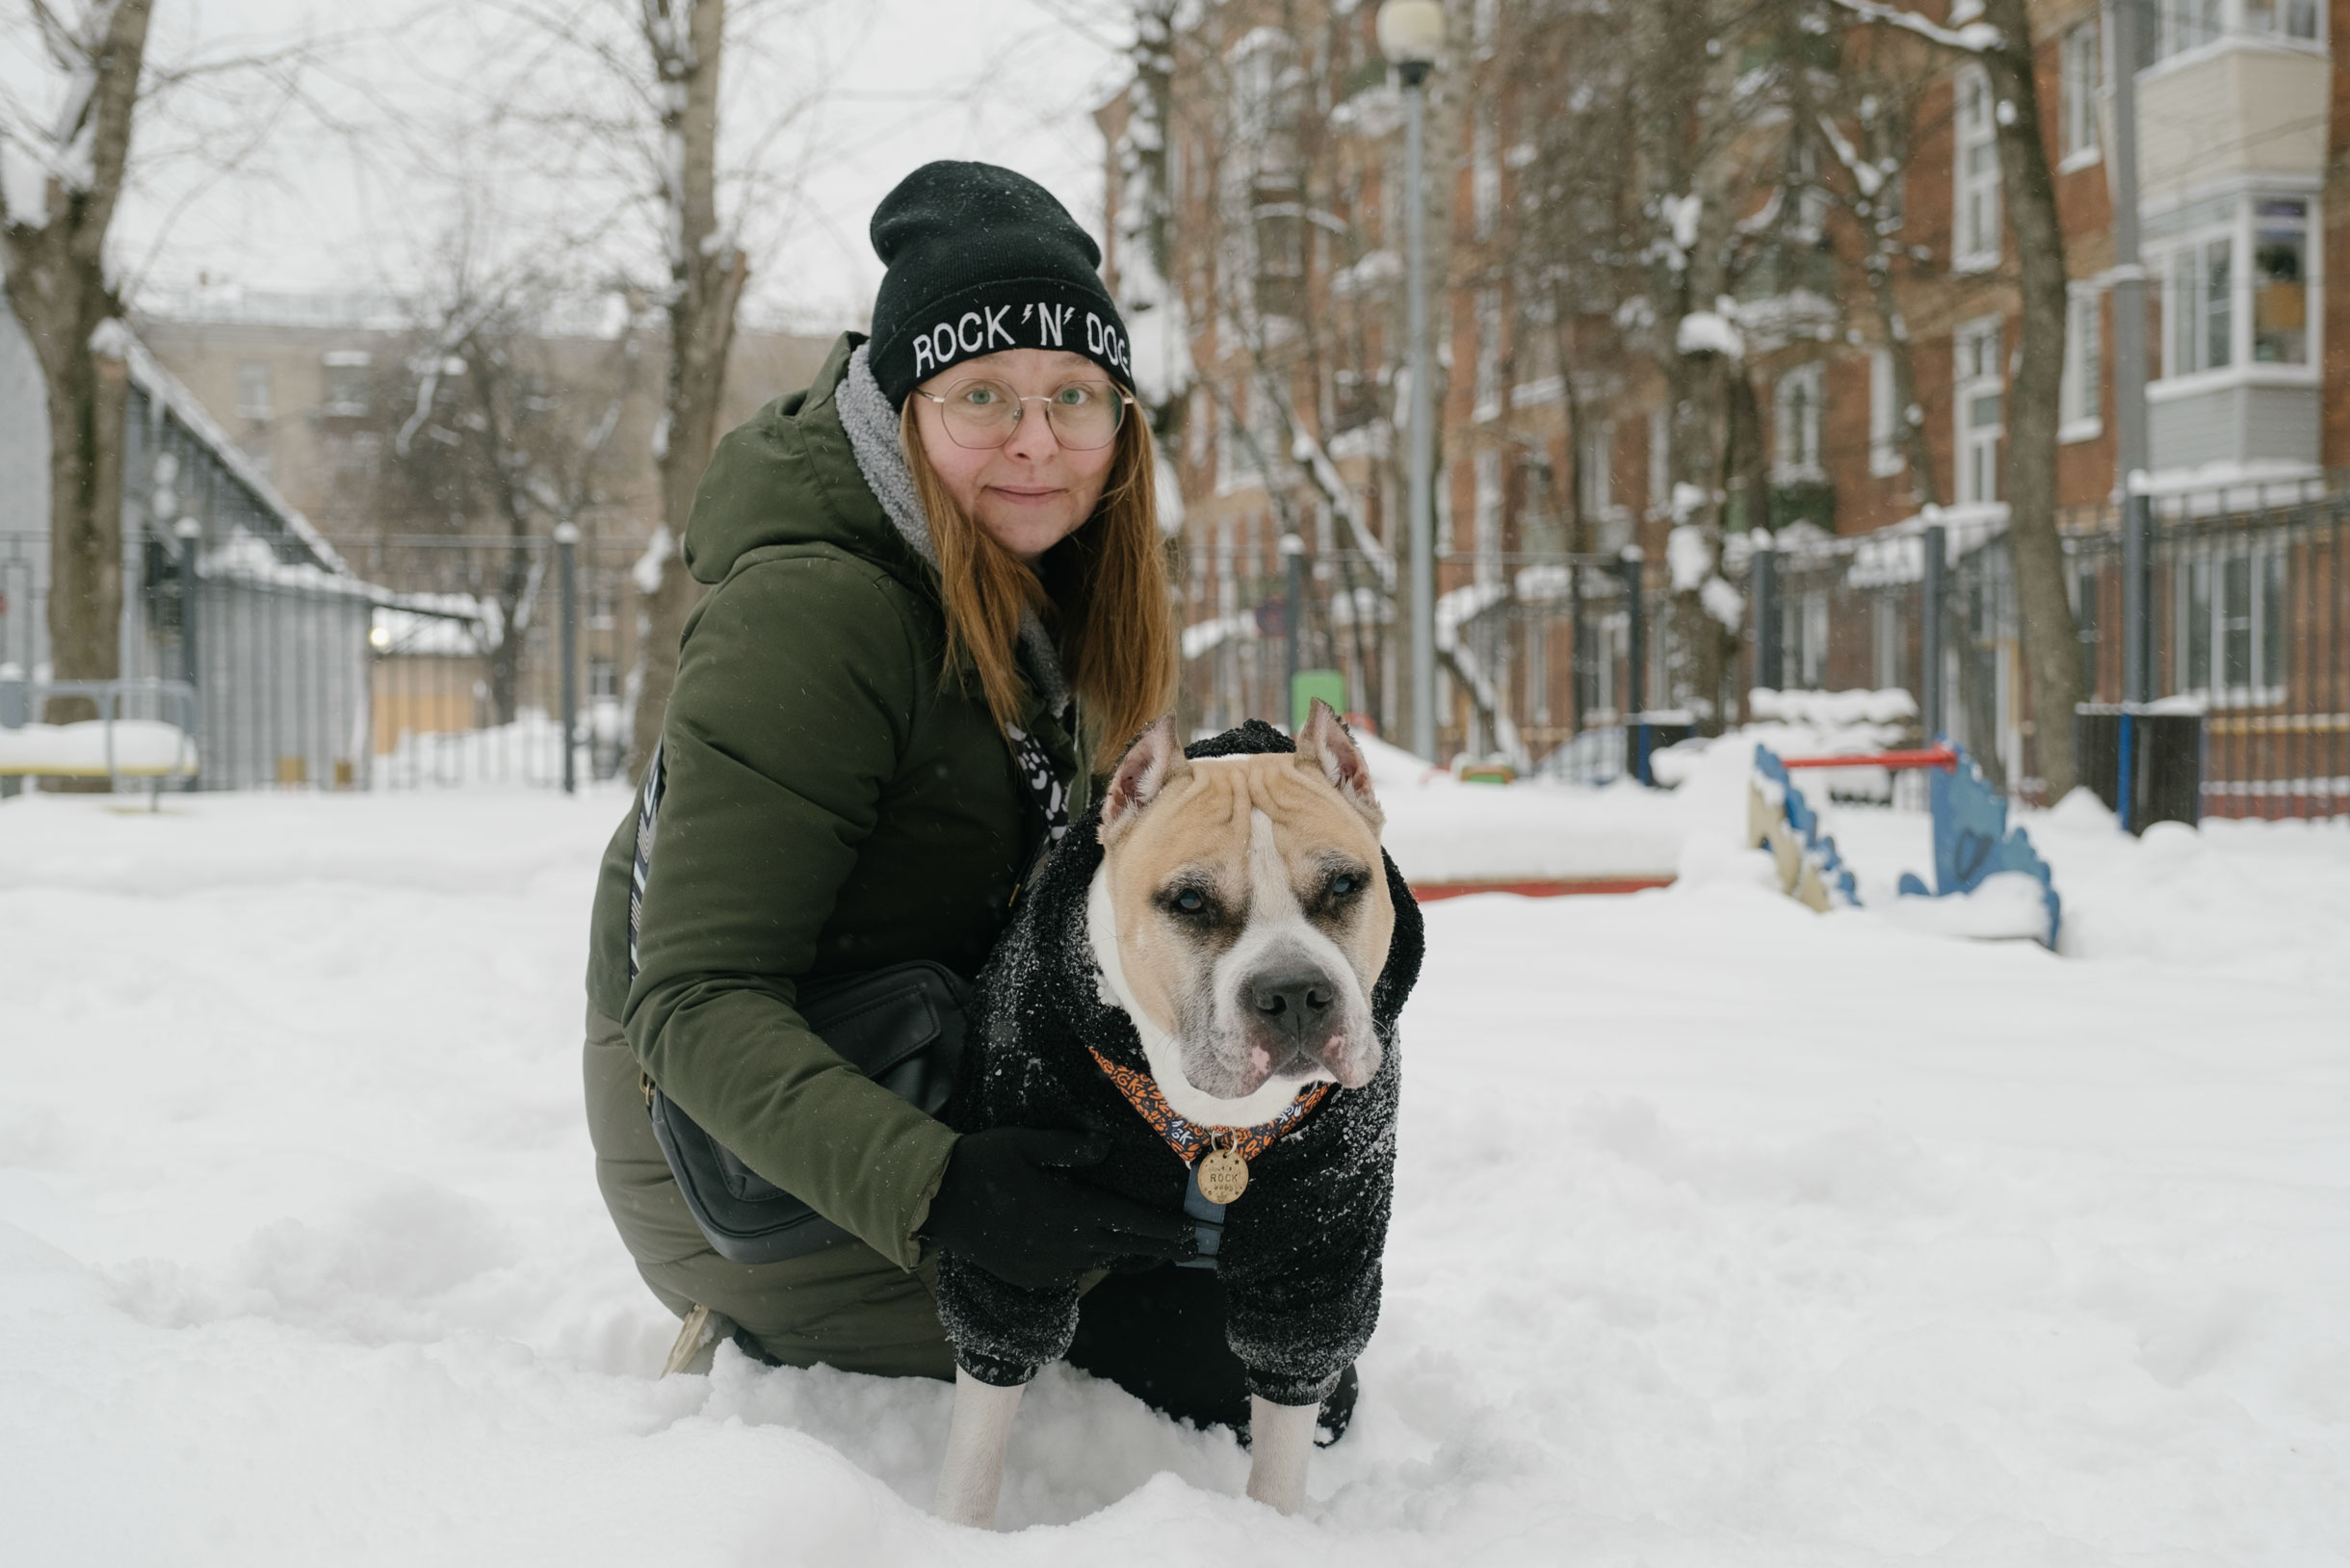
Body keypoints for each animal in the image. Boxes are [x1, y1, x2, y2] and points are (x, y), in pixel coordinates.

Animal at [926, 705, 1419, 1523]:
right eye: (1189, 902)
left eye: (1346, 884)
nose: (1295, 992)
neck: (1215, 1122)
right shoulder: (1011, 1229)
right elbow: (979, 1428)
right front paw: (957, 1531)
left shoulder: (1317, 1262)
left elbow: (1287, 1418)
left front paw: (1269, 1531)